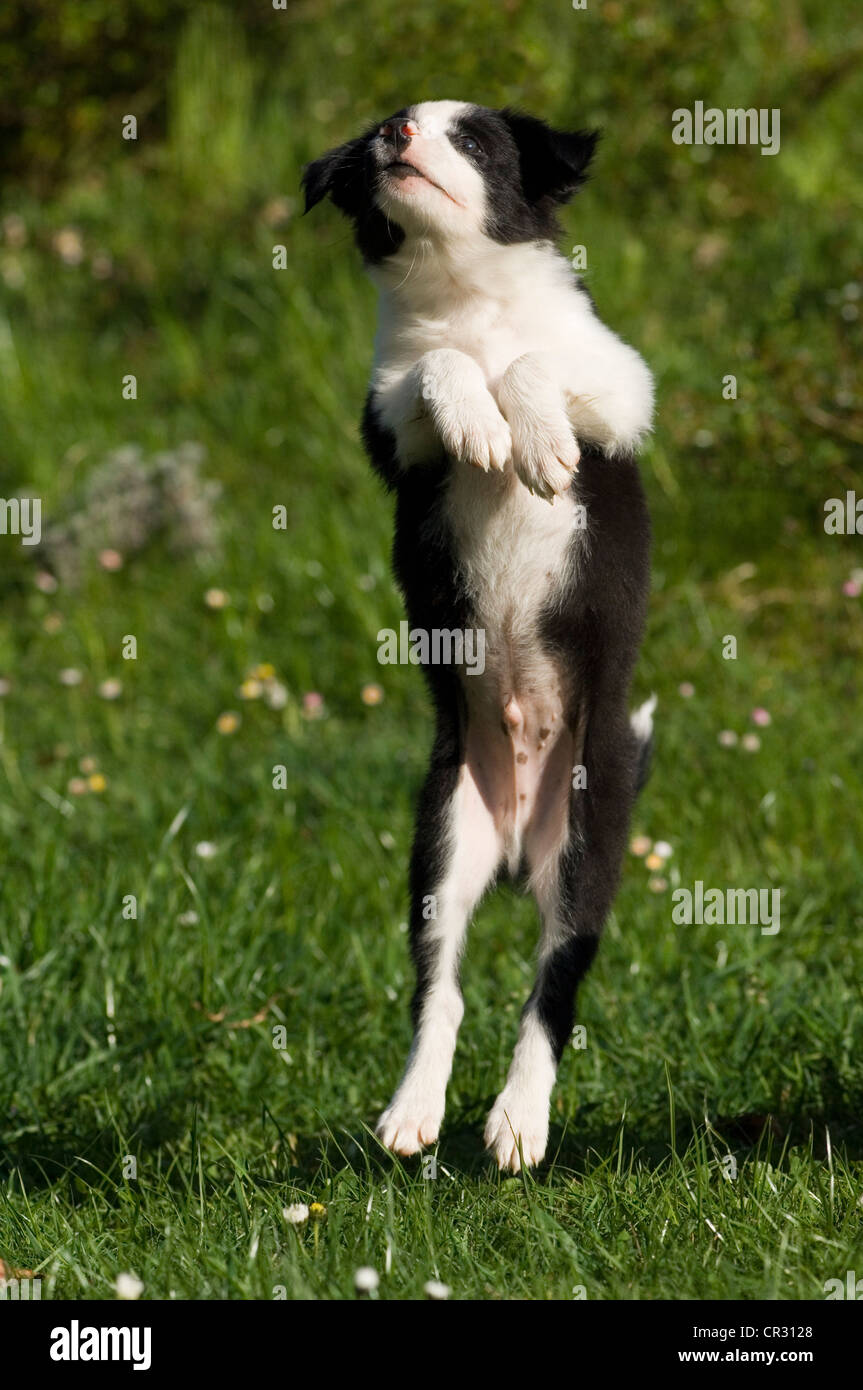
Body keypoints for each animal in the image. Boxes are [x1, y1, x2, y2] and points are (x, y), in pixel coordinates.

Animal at [304, 100, 653, 1173]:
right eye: (388, 126)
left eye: (473, 140)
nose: (397, 134)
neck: (472, 301)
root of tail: (512, 856)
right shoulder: (387, 422)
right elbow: (437, 368)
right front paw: (484, 428)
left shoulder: (623, 390)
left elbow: (542, 364)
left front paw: (533, 441)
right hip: (439, 838)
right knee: (440, 991)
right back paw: (413, 1113)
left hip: (588, 842)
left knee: (550, 990)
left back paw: (518, 1124)